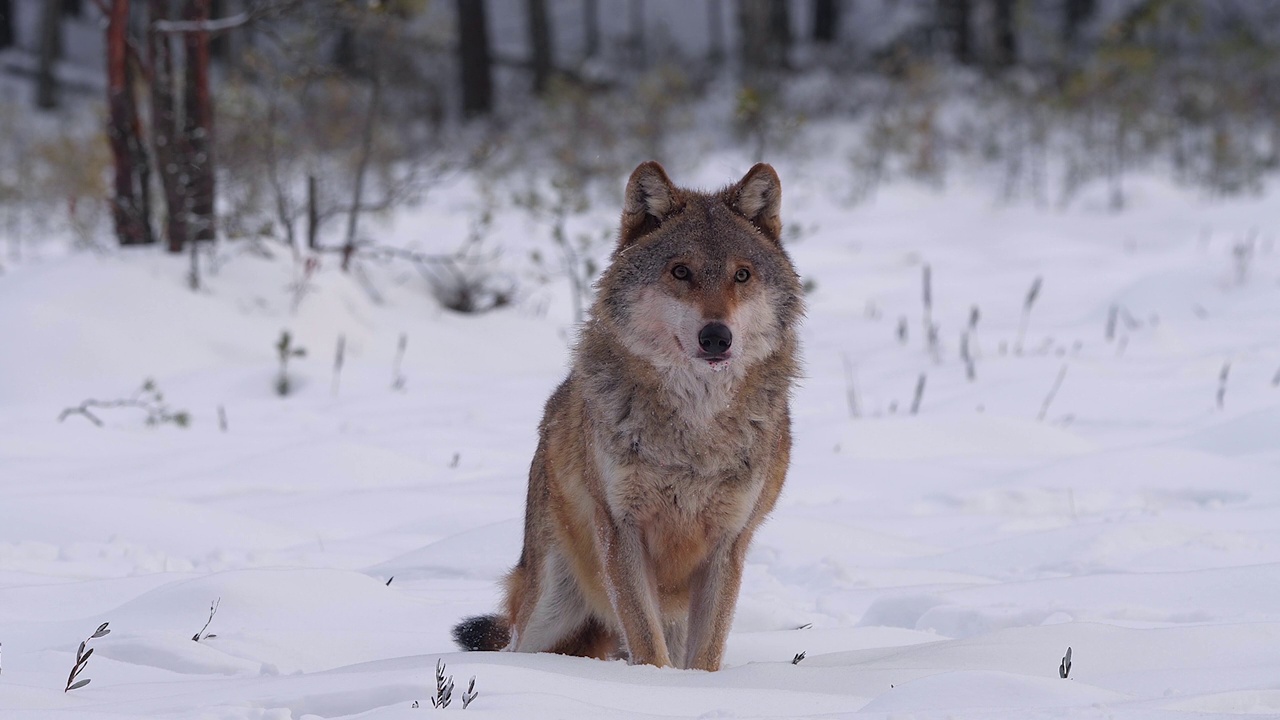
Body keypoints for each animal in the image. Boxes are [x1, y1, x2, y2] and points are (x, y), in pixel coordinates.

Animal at [453, 159, 798, 671]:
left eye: (742, 275)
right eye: (680, 271)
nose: (717, 337)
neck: (694, 430)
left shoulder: (728, 543)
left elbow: (705, 655)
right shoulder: (621, 529)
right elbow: (646, 642)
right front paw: (654, 685)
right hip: (549, 609)